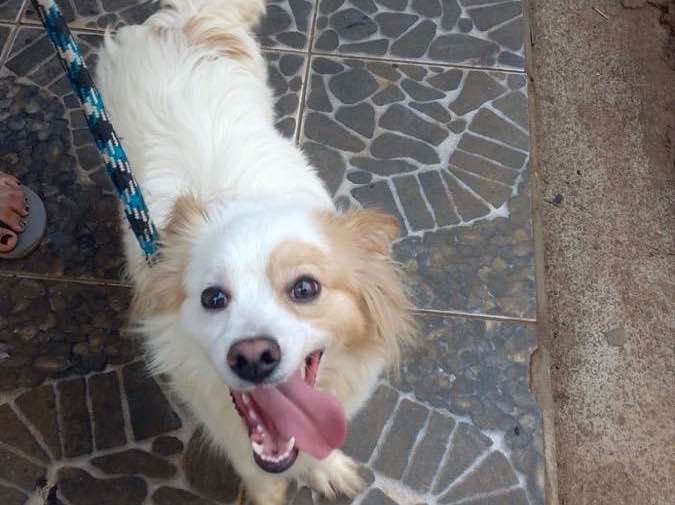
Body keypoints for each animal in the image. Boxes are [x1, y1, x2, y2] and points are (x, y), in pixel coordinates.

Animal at [96, 1, 415, 503]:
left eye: (305, 288)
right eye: (212, 298)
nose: (251, 356)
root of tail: (177, 21)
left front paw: (326, 468)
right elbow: (262, 479)